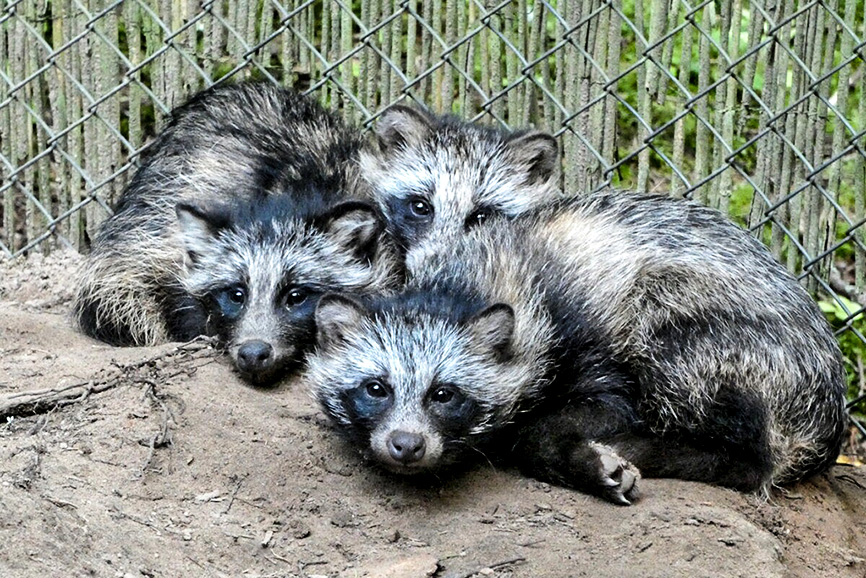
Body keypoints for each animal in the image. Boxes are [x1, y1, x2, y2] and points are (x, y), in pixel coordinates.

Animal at [308, 191, 848, 502]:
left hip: (713, 335)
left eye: (444, 394)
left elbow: (596, 410)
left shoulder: (587, 334)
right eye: (375, 388)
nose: (406, 444)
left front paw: (580, 452)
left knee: (752, 456)